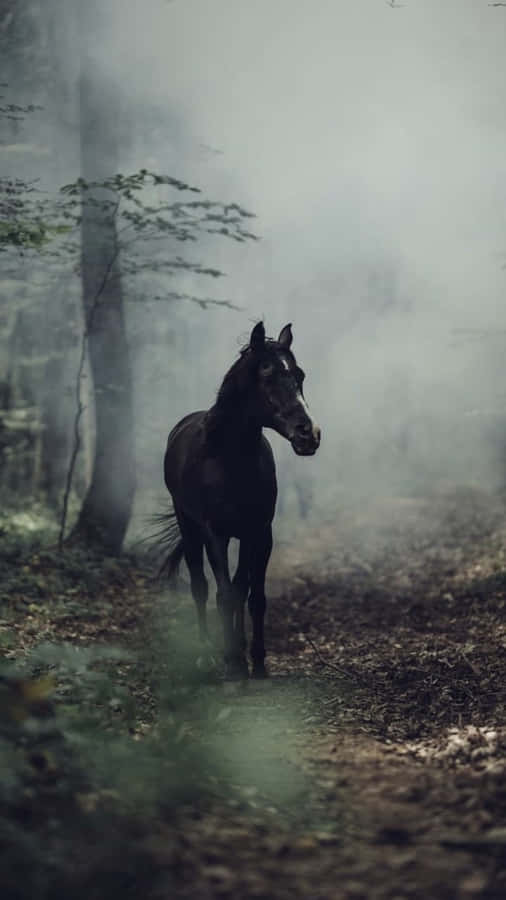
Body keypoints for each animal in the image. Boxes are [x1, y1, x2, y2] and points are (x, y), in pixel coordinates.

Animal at [162, 321, 321, 679]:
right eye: (267, 375)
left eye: (300, 375)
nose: (309, 434)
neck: (231, 460)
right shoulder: (216, 534)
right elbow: (223, 594)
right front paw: (232, 661)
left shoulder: (259, 532)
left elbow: (253, 594)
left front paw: (256, 661)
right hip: (189, 528)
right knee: (200, 586)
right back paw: (208, 653)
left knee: (240, 586)